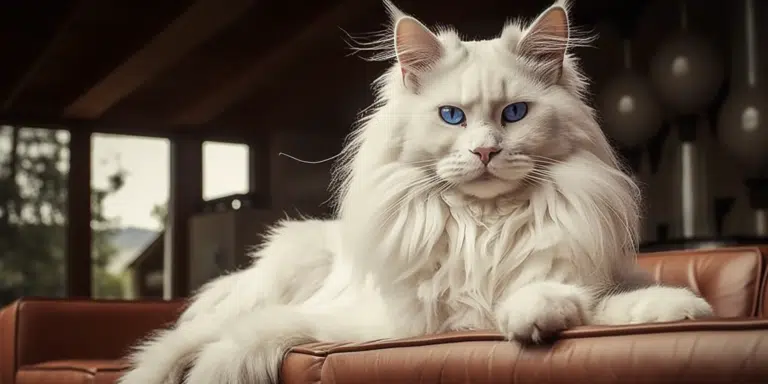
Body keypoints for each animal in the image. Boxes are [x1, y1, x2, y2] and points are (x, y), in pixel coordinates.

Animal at [118, 1, 712, 382]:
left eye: (514, 114)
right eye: (452, 117)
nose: (485, 152)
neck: (485, 227)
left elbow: (587, 302)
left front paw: (675, 311)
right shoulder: (390, 325)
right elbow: (237, 347)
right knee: (189, 338)